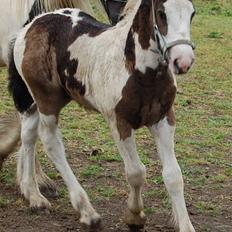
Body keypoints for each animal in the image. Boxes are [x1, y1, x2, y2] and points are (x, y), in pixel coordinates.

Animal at [3, 0, 196, 230]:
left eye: (192, 13)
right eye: (161, 13)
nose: (183, 61)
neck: (139, 70)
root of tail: (30, 25)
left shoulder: (163, 119)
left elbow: (173, 176)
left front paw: (186, 226)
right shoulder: (119, 122)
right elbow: (136, 172)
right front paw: (135, 216)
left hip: (38, 101)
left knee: (29, 135)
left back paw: (34, 195)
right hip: (46, 100)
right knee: (51, 143)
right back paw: (86, 211)